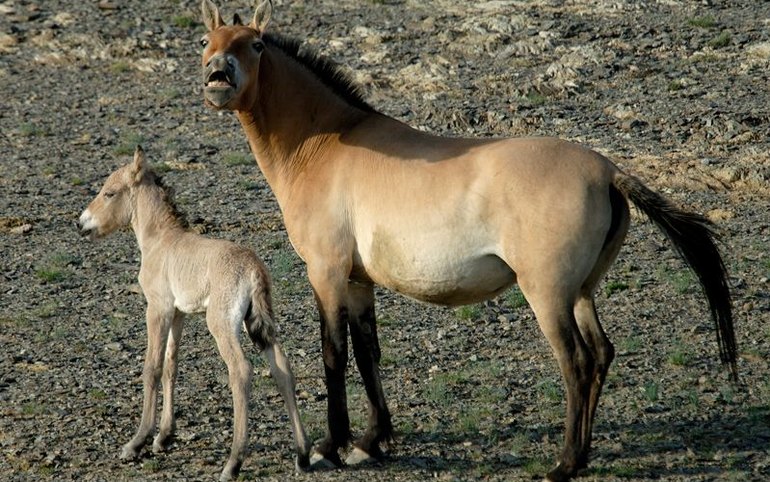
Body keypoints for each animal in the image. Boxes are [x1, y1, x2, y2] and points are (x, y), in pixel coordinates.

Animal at [76, 146, 308, 478]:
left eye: (109, 192)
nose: (81, 223)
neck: (160, 239)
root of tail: (253, 269)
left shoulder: (158, 307)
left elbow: (152, 367)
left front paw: (137, 442)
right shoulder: (178, 313)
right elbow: (171, 365)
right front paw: (163, 437)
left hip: (221, 323)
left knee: (241, 370)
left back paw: (233, 463)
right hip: (258, 323)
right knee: (282, 369)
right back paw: (302, 454)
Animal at [196, 1, 732, 480]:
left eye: (255, 44)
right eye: (208, 42)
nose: (218, 76)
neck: (326, 144)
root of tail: (607, 172)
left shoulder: (326, 273)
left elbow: (334, 354)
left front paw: (332, 447)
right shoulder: (358, 281)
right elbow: (369, 353)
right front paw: (372, 442)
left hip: (547, 294)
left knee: (577, 363)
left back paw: (564, 464)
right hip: (581, 293)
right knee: (600, 355)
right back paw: (580, 456)